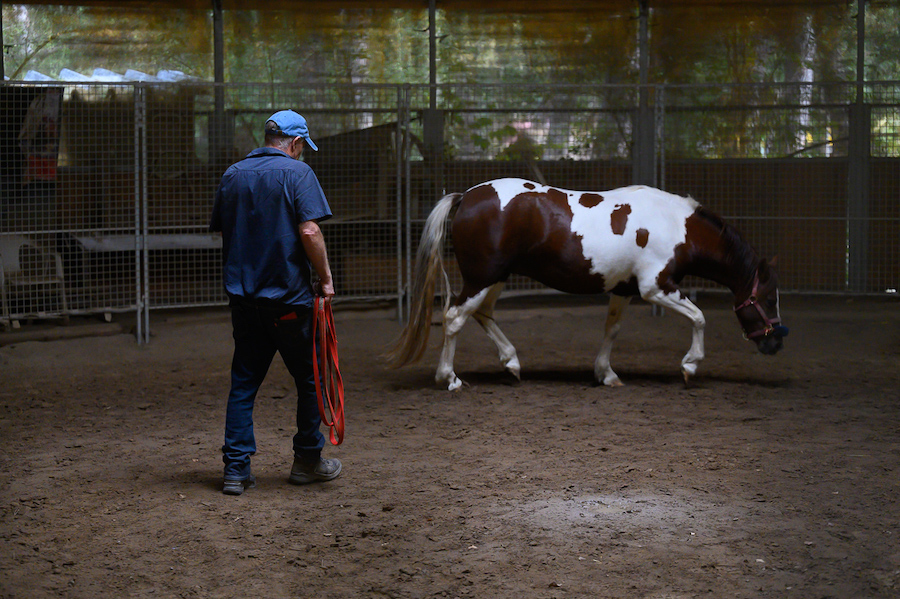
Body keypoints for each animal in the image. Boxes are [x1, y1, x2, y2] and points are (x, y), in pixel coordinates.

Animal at [386, 177, 788, 390]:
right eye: (768, 298)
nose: (775, 344)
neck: (676, 225)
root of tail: (467, 196)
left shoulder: (624, 290)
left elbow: (612, 330)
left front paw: (606, 374)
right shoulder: (655, 288)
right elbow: (699, 317)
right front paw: (690, 367)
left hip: (494, 278)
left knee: (483, 315)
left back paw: (512, 363)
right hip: (482, 277)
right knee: (455, 318)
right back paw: (449, 378)